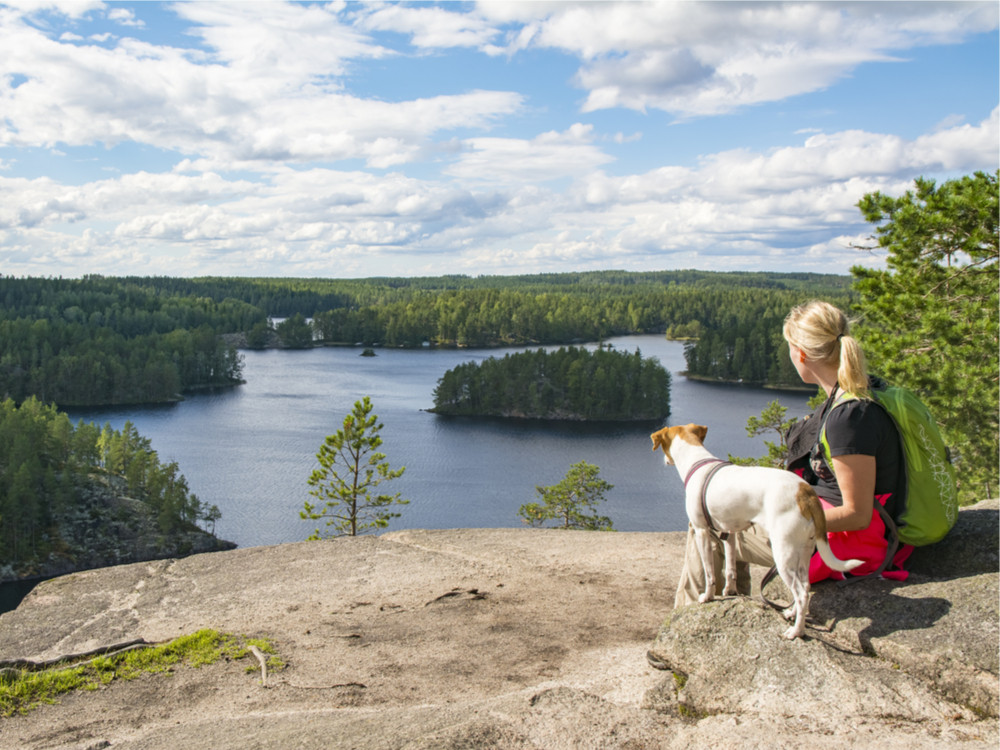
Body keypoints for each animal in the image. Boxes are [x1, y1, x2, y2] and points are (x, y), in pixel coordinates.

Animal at [652, 424, 864, 640]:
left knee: (801, 593)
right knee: (805, 585)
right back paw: (791, 613)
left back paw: (796, 631)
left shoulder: (702, 531)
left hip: (784, 554)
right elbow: (731, 568)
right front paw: (730, 590)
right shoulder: (729, 531)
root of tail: (806, 493)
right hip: (804, 551)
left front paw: (707, 596)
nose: (664, 460)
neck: (699, 461)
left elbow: (709, 572)